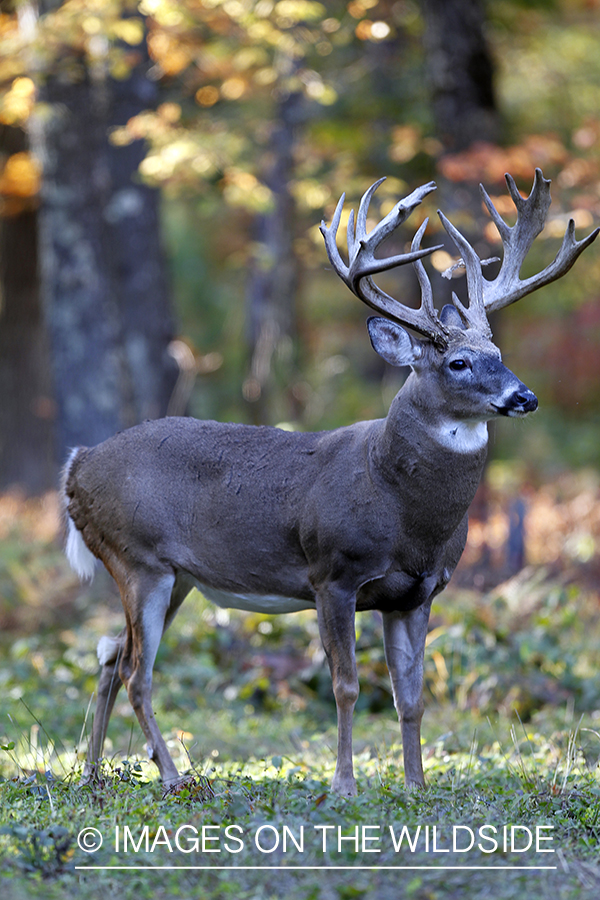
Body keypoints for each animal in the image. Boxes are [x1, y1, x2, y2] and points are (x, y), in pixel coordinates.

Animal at [63, 169, 596, 796]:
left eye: (498, 352)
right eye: (458, 363)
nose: (525, 396)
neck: (404, 511)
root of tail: (76, 465)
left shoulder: (419, 592)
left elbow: (411, 697)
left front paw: (416, 785)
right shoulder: (333, 572)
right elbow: (346, 685)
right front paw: (343, 783)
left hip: (177, 577)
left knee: (109, 655)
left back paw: (94, 774)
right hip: (137, 558)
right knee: (135, 670)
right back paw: (171, 776)